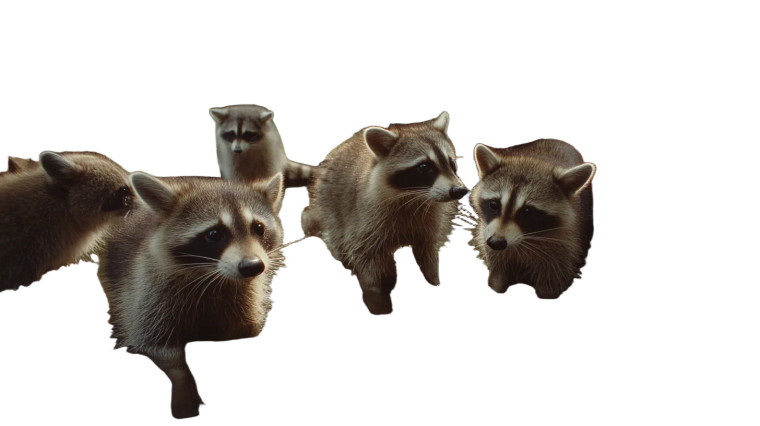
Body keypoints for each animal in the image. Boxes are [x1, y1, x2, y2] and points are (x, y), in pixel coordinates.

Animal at [97, 172, 284, 418]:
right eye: (214, 234)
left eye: (259, 228)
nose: (252, 266)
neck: (214, 278)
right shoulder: (146, 293)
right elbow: (153, 343)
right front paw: (183, 385)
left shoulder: (246, 305)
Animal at [302, 112, 468, 315]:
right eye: (424, 167)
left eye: (451, 163)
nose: (459, 191)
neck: (414, 197)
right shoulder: (365, 220)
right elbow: (368, 258)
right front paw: (378, 300)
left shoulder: (432, 218)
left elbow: (428, 249)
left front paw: (433, 278)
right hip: (329, 201)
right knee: (334, 232)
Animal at [468, 139, 595, 299]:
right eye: (493, 205)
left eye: (527, 212)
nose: (496, 242)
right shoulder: (489, 240)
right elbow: (497, 277)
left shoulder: (564, 249)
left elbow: (552, 284)